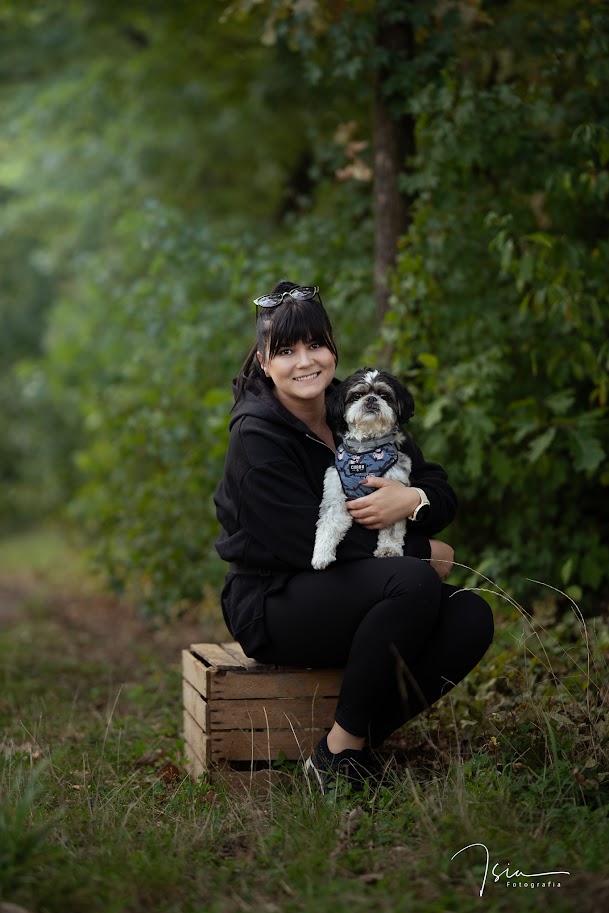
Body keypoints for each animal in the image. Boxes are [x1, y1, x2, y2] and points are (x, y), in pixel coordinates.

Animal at [311, 368, 415, 570]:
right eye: (357, 396)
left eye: (385, 396)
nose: (371, 399)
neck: (365, 449)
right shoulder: (335, 493)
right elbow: (328, 523)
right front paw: (321, 554)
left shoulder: (394, 494)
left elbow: (392, 528)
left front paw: (389, 549)